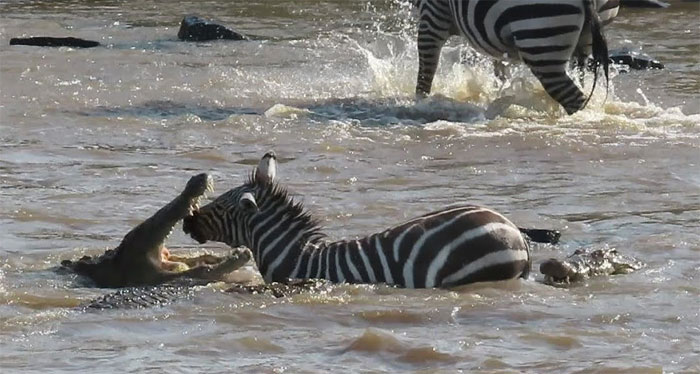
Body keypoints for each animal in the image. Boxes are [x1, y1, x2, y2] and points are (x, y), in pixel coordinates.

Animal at [412, 0, 620, 114]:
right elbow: (500, 72)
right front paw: (496, 95)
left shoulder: (433, 14)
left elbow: (425, 73)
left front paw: (419, 107)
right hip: (583, 41)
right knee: (580, 80)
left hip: (538, 34)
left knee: (571, 96)